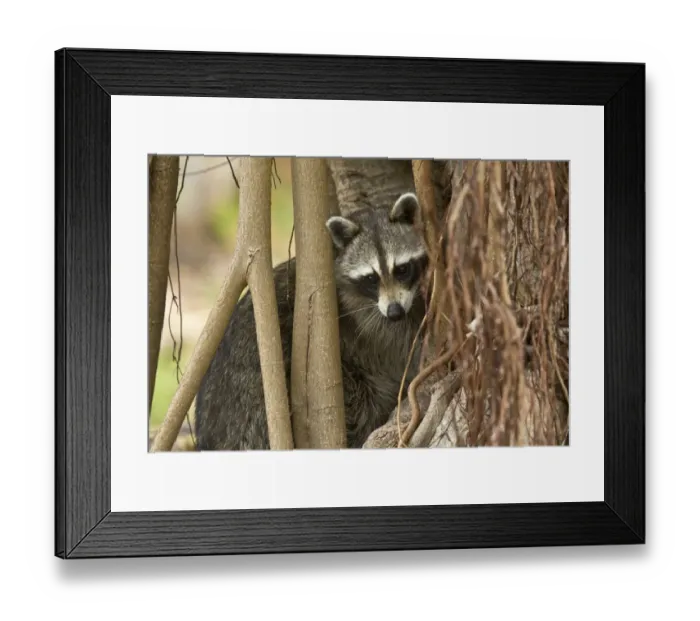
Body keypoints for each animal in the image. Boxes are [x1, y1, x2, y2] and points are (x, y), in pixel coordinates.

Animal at [195, 192, 429, 451]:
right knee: (361, 401)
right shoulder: (364, 323)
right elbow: (398, 349)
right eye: (371, 278)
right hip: (254, 403)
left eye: (402, 269)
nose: (395, 312)